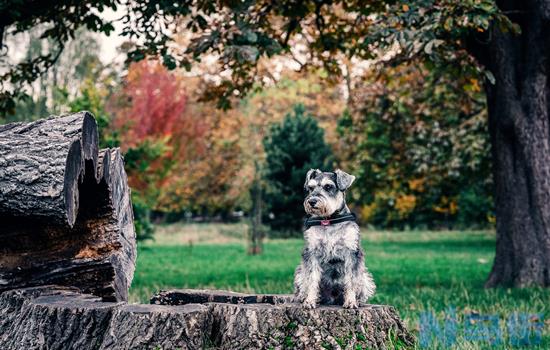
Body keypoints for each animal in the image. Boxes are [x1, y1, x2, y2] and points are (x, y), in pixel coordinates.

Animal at [296, 170, 378, 308]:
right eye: (311, 188)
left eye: (328, 186)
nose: (312, 201)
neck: (329, 221)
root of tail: (332, 298)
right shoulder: (312, 252)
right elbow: (312, 278)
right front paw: (310, 300)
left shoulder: (351, 252)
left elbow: (351, 280)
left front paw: (350, 301)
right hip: (299, 271)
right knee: (303, 284)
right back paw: (303, 296)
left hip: (365, 276)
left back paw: (359, 300)